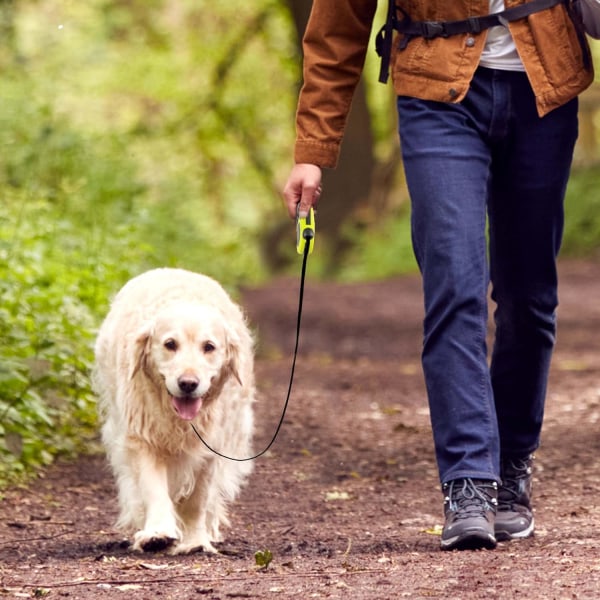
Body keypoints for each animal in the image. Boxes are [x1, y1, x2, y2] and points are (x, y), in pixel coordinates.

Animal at [92, 268, 254, 552]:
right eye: (170, 344)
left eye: (209, 347)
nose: (188, 383)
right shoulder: (142, 437)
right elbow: (154, 488)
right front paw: (157, 533)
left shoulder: (210, 446)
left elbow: (197, 499)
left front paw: (195, 541)